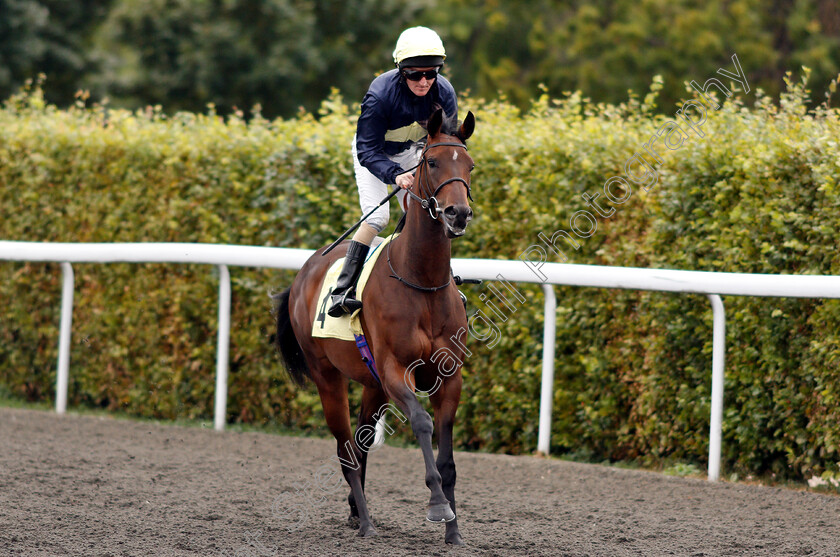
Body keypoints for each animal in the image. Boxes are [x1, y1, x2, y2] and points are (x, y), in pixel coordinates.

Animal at [274, 107, 476, 544]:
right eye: (432, 162)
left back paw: (356, 512)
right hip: (328, 377)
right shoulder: (395, 369)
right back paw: (365, 522)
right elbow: (421, 422)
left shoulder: (448, 376)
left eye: (469, 165)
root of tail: (303, 274)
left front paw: (453, 530)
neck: (421, 280)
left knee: (361, 445)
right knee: (345, 449)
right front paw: (438, 506)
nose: (458, 213)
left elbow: (447, 453)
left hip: (371, 385)